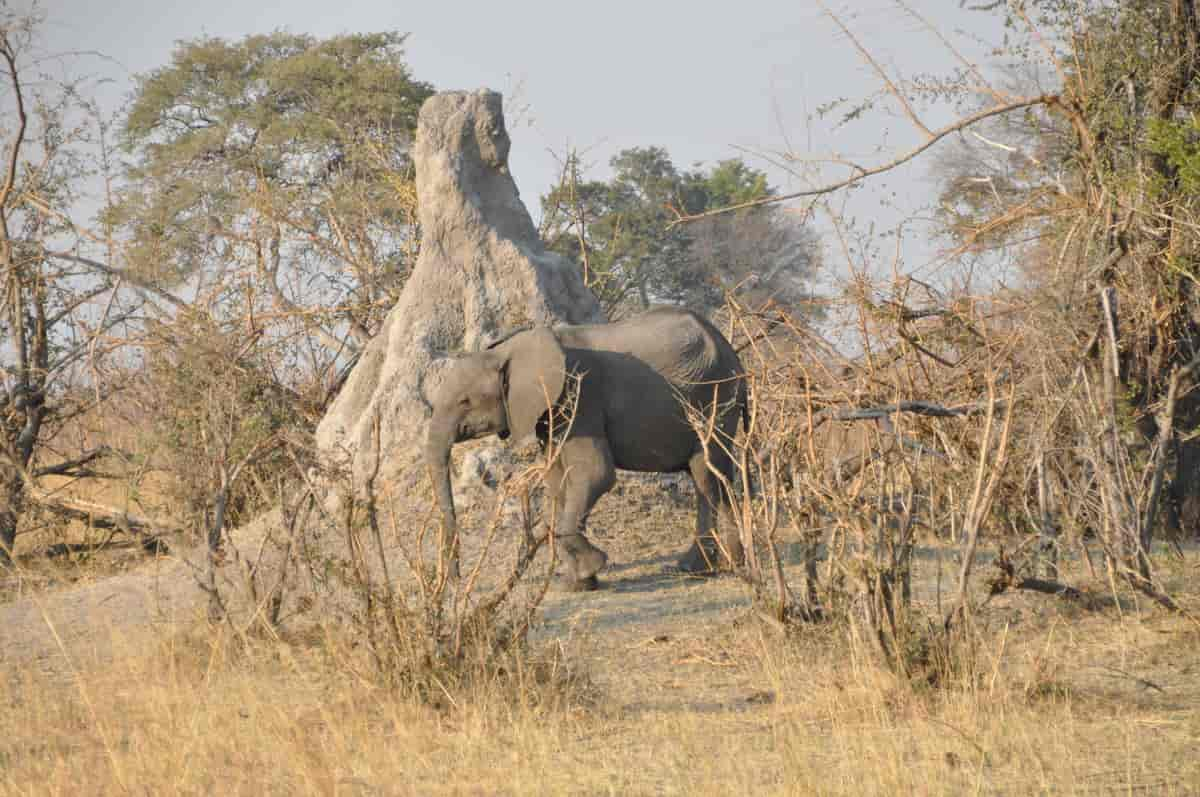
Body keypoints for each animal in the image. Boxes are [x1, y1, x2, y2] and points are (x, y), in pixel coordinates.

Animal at [424, 304, 748, 590]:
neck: (508, 350)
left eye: (465, 401)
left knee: (706, 474)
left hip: (714, 398)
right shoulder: (551, 413)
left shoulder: (579, 396)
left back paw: (692, 570)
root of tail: (730, 349)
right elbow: (559, 482)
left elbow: (596, 474)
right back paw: (734, 564)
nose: (456, 581)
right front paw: (577, 583)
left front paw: (594, 566)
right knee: (719, 476)